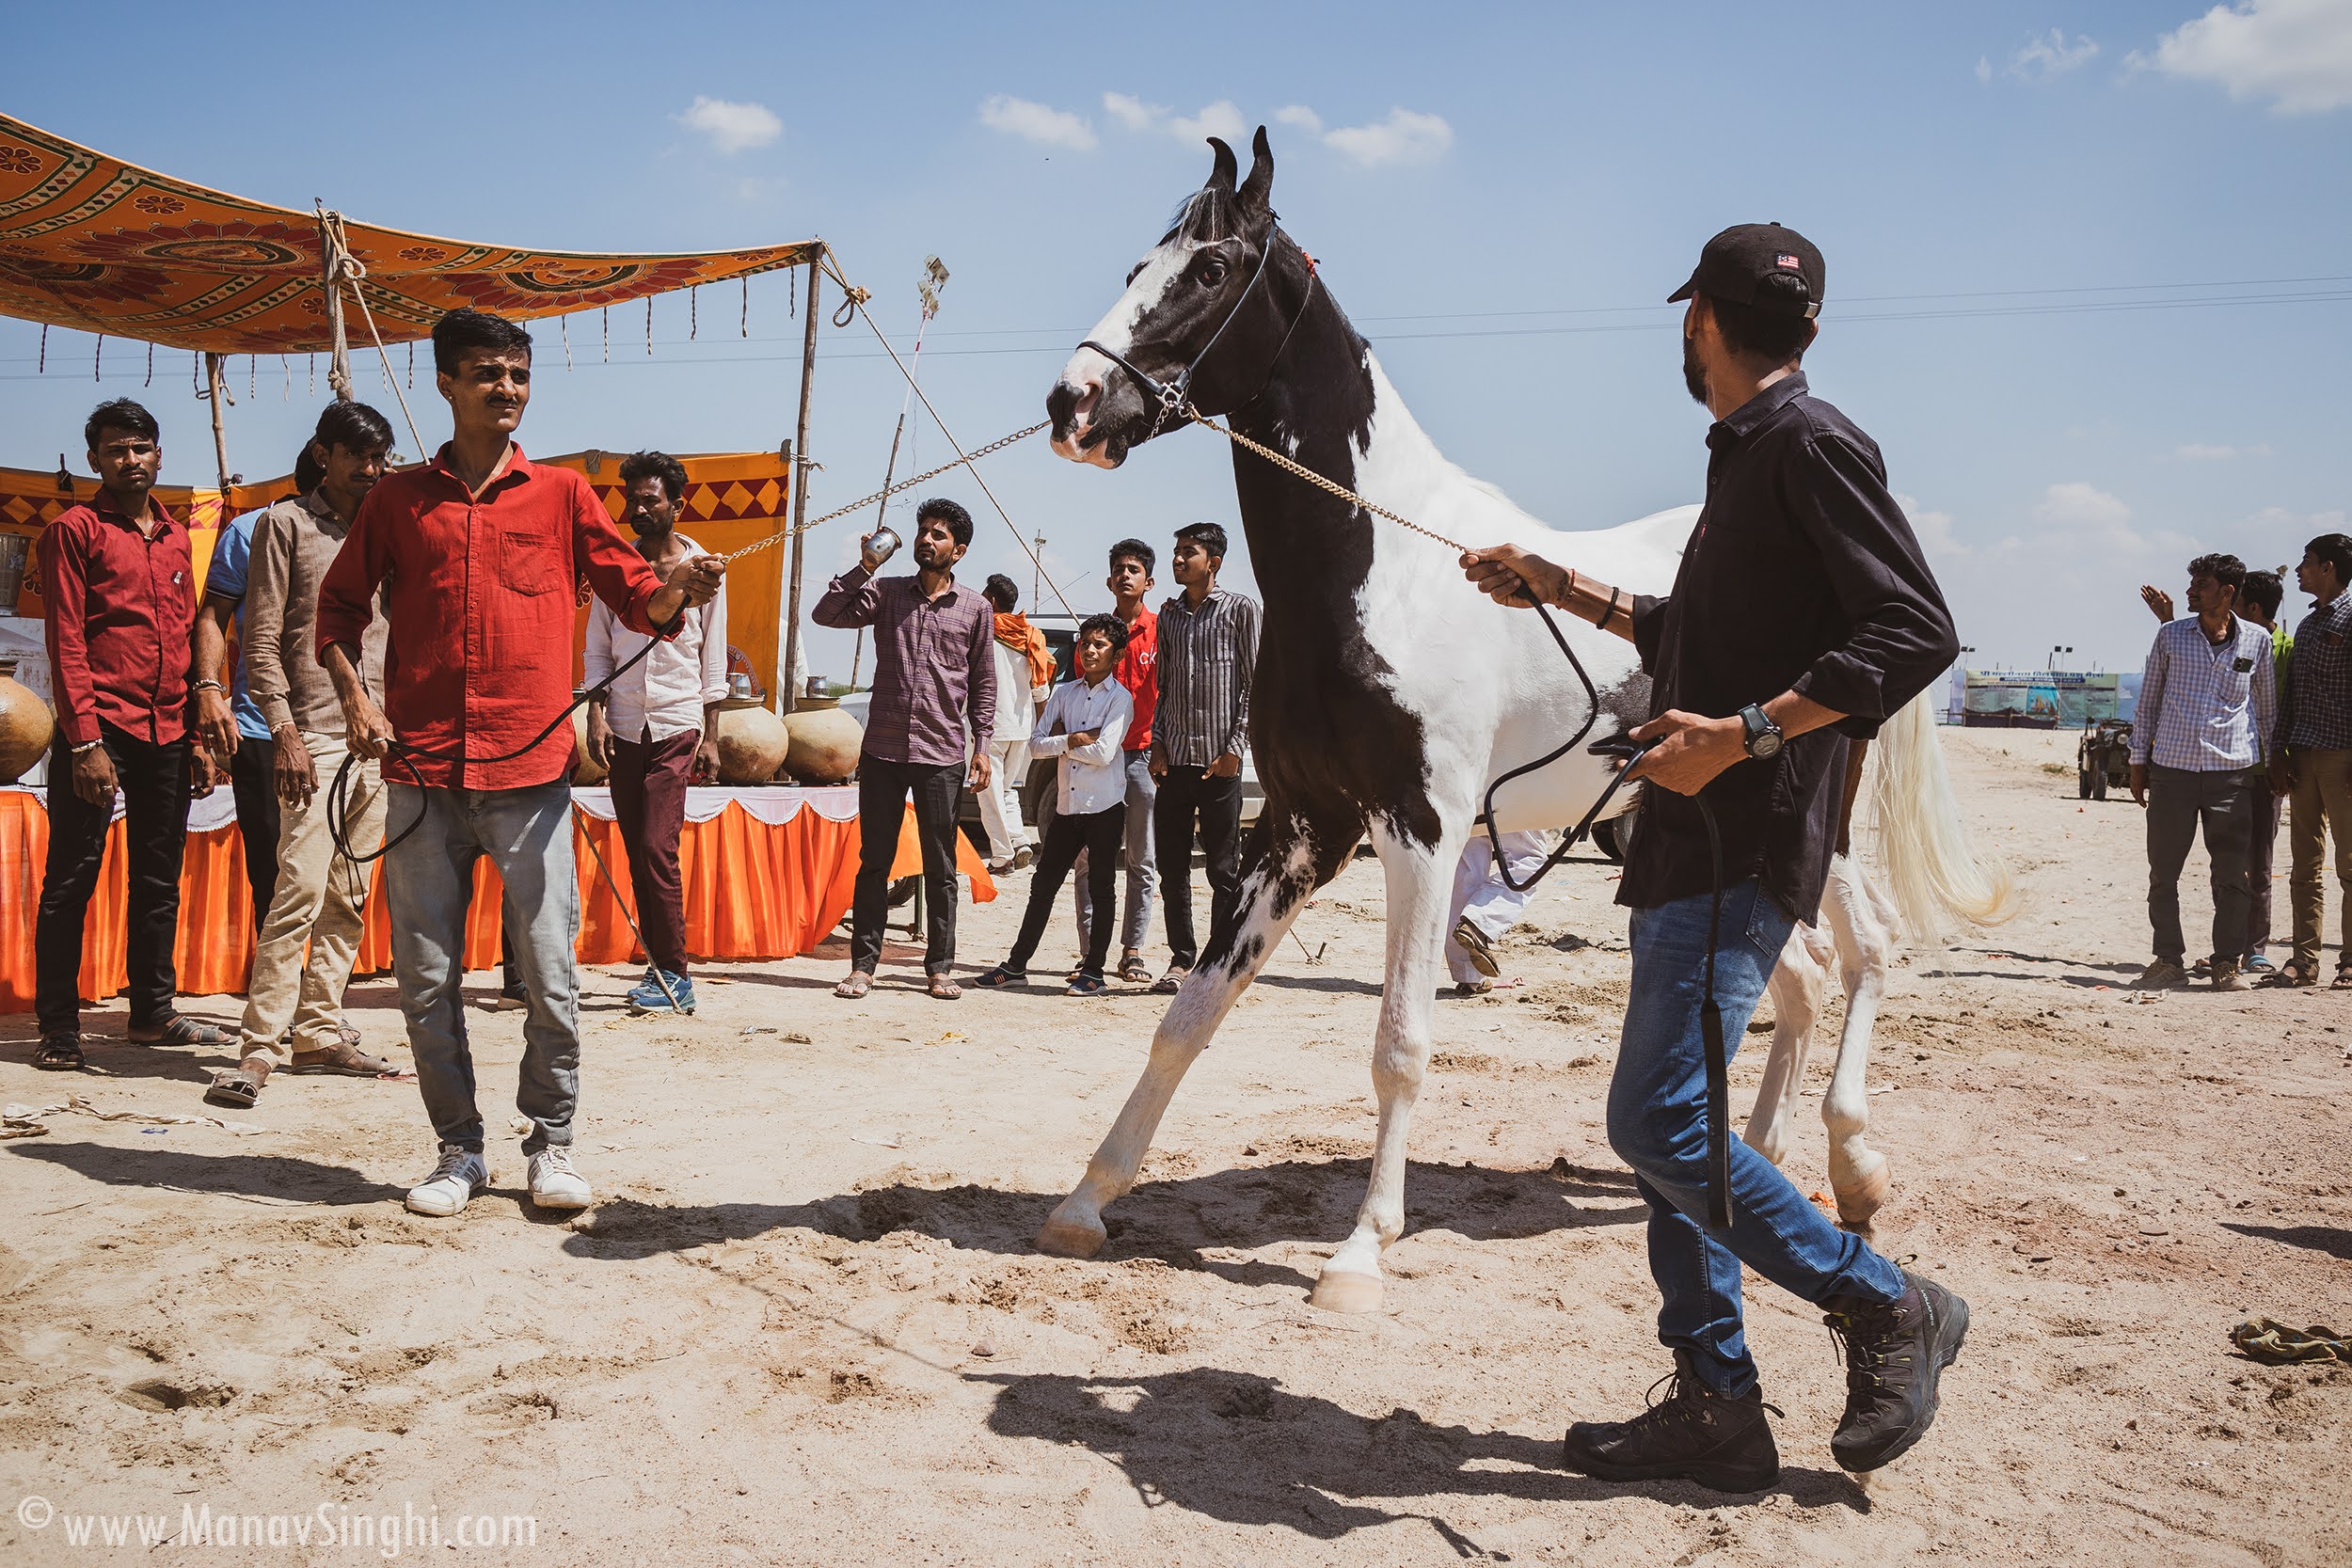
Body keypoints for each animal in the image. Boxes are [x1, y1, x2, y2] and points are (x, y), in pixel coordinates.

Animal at [1040, 131, 2013, 1316]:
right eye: (1142, 261)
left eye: (1209, 268)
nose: (1072, 404)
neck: (1383, 571)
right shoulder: (1302, 827)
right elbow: (1189, 1013)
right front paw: (1087, 1199)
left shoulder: (1418, 826)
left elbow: (1400, 1041)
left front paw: (1360, 1252)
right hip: (1678, 831)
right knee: (1802, 978)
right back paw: (1759, 1166)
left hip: (1802, 824)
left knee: (1862, 950)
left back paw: (1851, 1164)